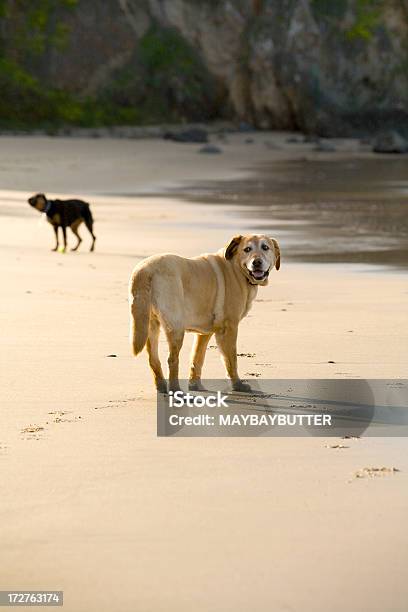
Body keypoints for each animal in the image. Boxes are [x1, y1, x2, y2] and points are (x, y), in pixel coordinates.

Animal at [128, 234, 280, 392]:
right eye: (247, 249)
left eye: (265, 247)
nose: (257, 262)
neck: (236, 268)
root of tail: (144, 271)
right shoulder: (230, 328)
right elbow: (231, 359)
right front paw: (237, 384)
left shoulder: (204, 333)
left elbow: (197, 358)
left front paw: (195, 384)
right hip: (176, 328)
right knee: (172, 359)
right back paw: (176, 389)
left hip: (149, 325)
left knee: (153, 359)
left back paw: (162, 386)